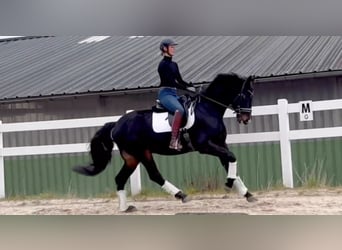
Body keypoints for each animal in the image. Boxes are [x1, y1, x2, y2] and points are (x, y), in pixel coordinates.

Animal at [75, 72, 256, 211]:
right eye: (244, 95)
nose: (246, 118)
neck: (208, 110)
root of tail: (116, 124)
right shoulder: (204, 145)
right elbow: (231, 157)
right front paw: (229, 184)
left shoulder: (220, 144)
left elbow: (229, 161)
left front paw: (247, 194)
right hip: (139, 153)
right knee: (153, 174)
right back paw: (180, 195)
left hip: (134, 156)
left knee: (123, 178)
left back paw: (125, 208)